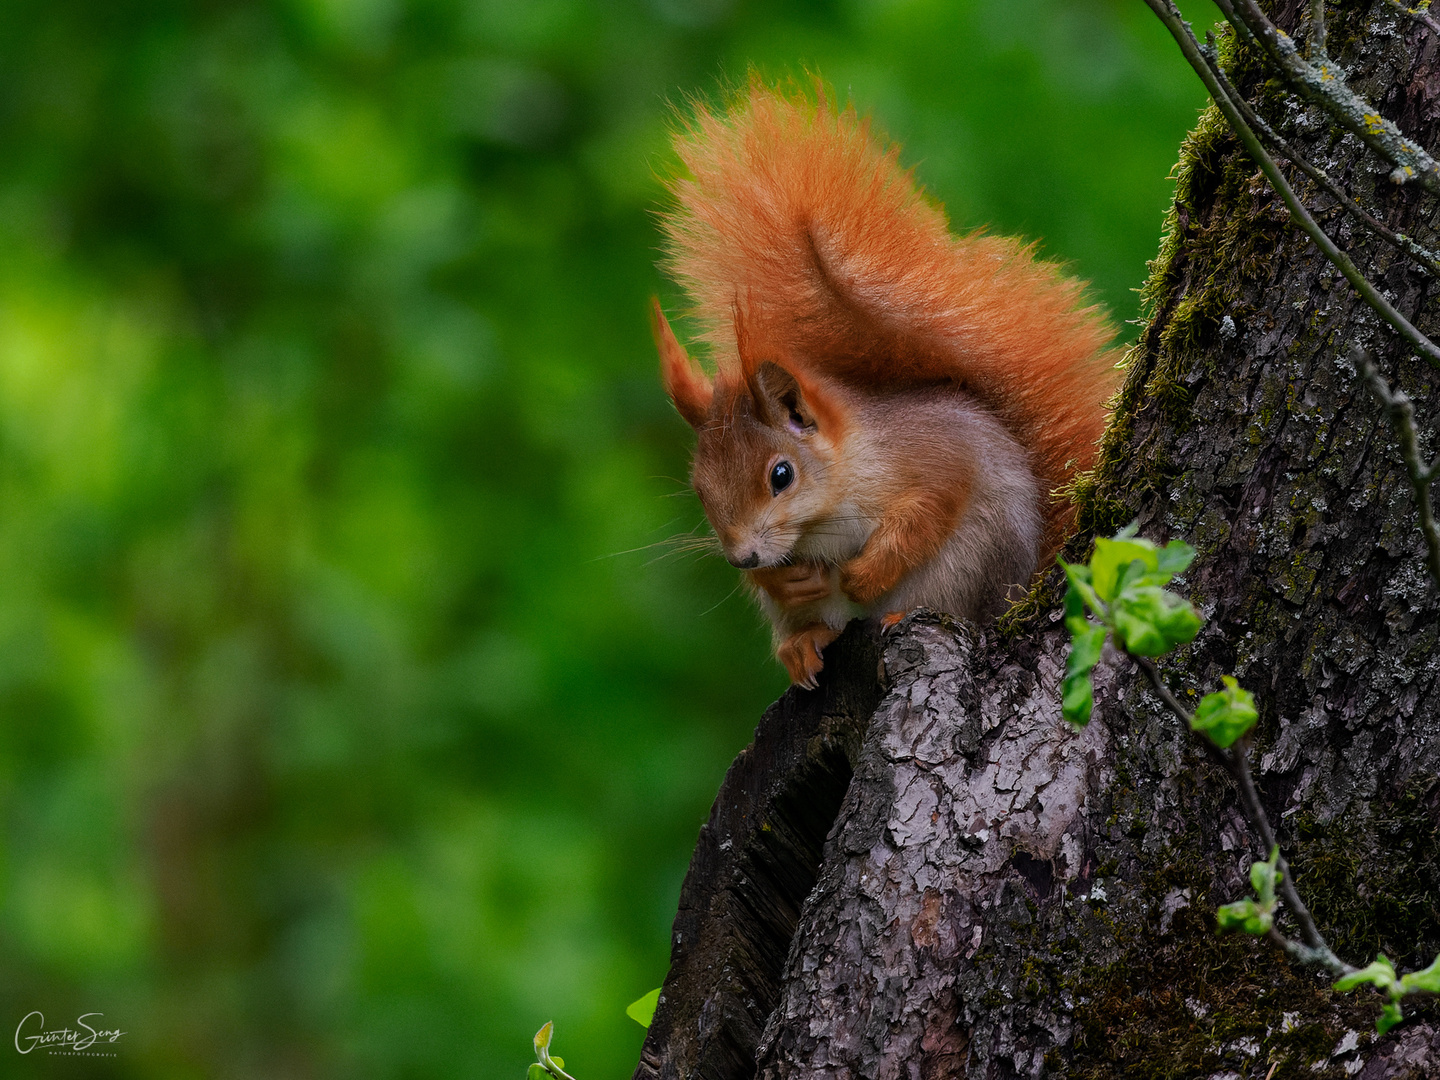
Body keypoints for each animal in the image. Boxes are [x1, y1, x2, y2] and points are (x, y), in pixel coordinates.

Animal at [656, 80, 1123, 688]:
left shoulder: (937, 452)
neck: (825, 513)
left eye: (782, 475)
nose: (743, 557)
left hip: (973, 563)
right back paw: (802, 646)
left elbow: (931, 506)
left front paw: (864, 575)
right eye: (699, 488)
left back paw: (894, 611)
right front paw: (779, 578)